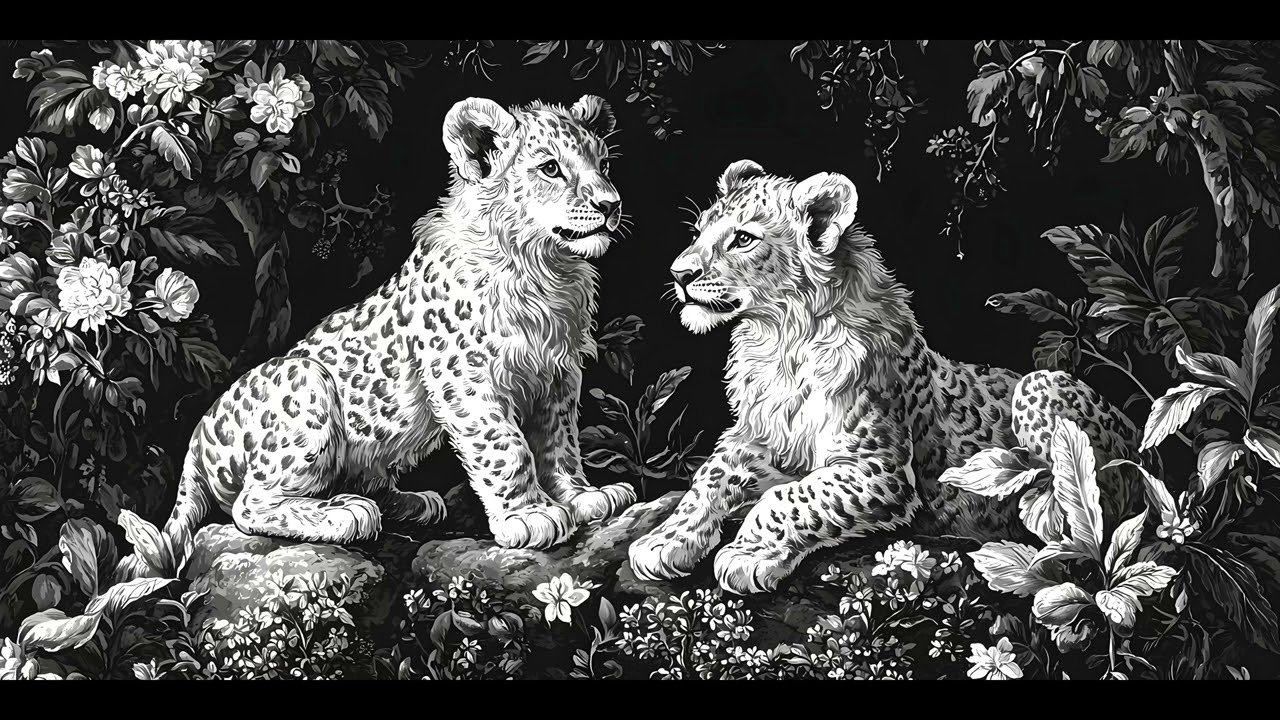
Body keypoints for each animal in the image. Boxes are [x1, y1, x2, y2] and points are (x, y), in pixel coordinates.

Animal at [116, 95, 638, 582]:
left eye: (604, 164)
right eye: (550, 168)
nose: (611, 204)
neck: (546, 271)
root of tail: (198, 437)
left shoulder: (558, 377)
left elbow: (559, 442)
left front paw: (583, 497)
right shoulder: (467, 381)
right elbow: (505, 446)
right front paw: (529, 516)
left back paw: (411, 502)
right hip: (306, 387)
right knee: (252, 503)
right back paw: (347, 513)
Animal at [628, 159, 1140, 595]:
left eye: (743, 238)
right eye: (698, 232)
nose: (679, 272)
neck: (780, 344)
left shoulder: (880, 470)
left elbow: (789, 498)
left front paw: (746, 555)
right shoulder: (760, 438)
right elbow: (710, 476)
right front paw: (663, 541)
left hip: (1043, 387)